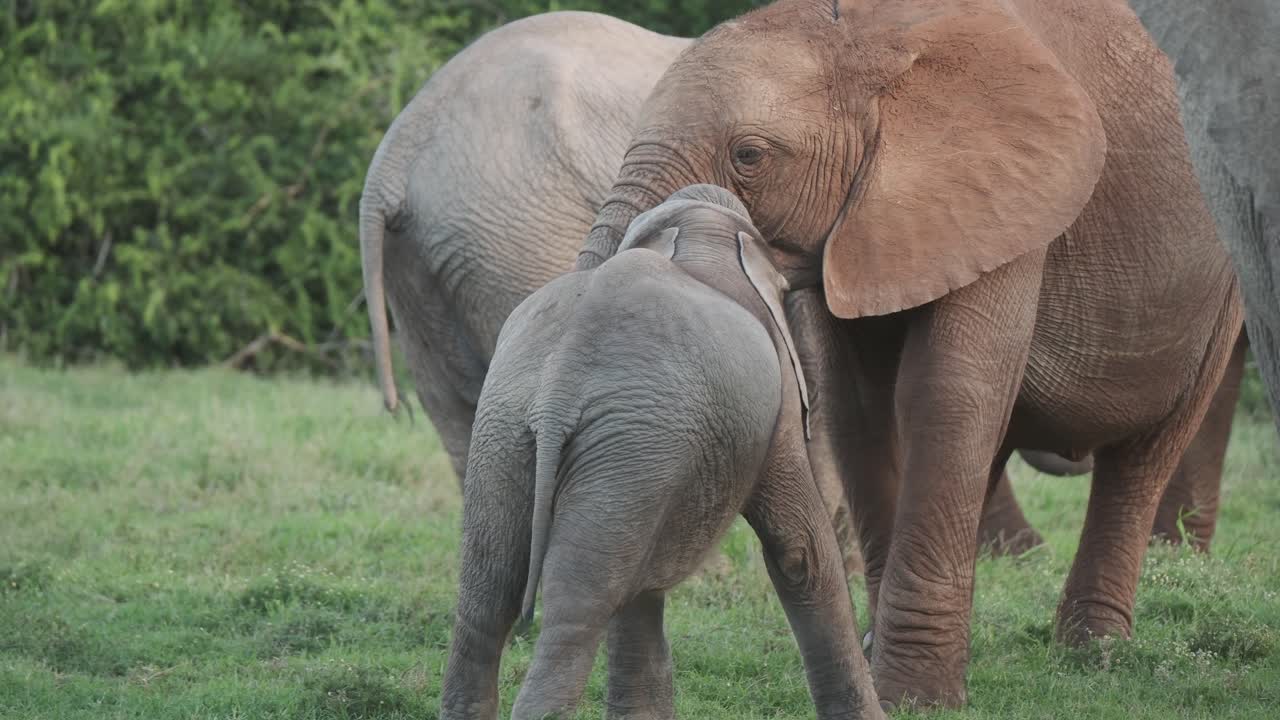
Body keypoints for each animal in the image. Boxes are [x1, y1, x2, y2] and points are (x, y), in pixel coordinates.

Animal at [439, 185, 884, 720]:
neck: (698, 232)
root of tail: (559, 386)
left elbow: (640, 588)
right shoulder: (774, 396)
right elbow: (799, 550)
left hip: (514, 429)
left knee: (487, 593)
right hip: (625, 447)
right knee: (573, 613)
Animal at [574, 0, 1245, 707]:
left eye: (748, 155)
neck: (871, 40)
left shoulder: (1001, 197)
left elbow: (946, 393)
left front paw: (912, 698)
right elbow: (860, 411)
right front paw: (888, 675)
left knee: (1143, 457)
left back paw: (1095, 655)